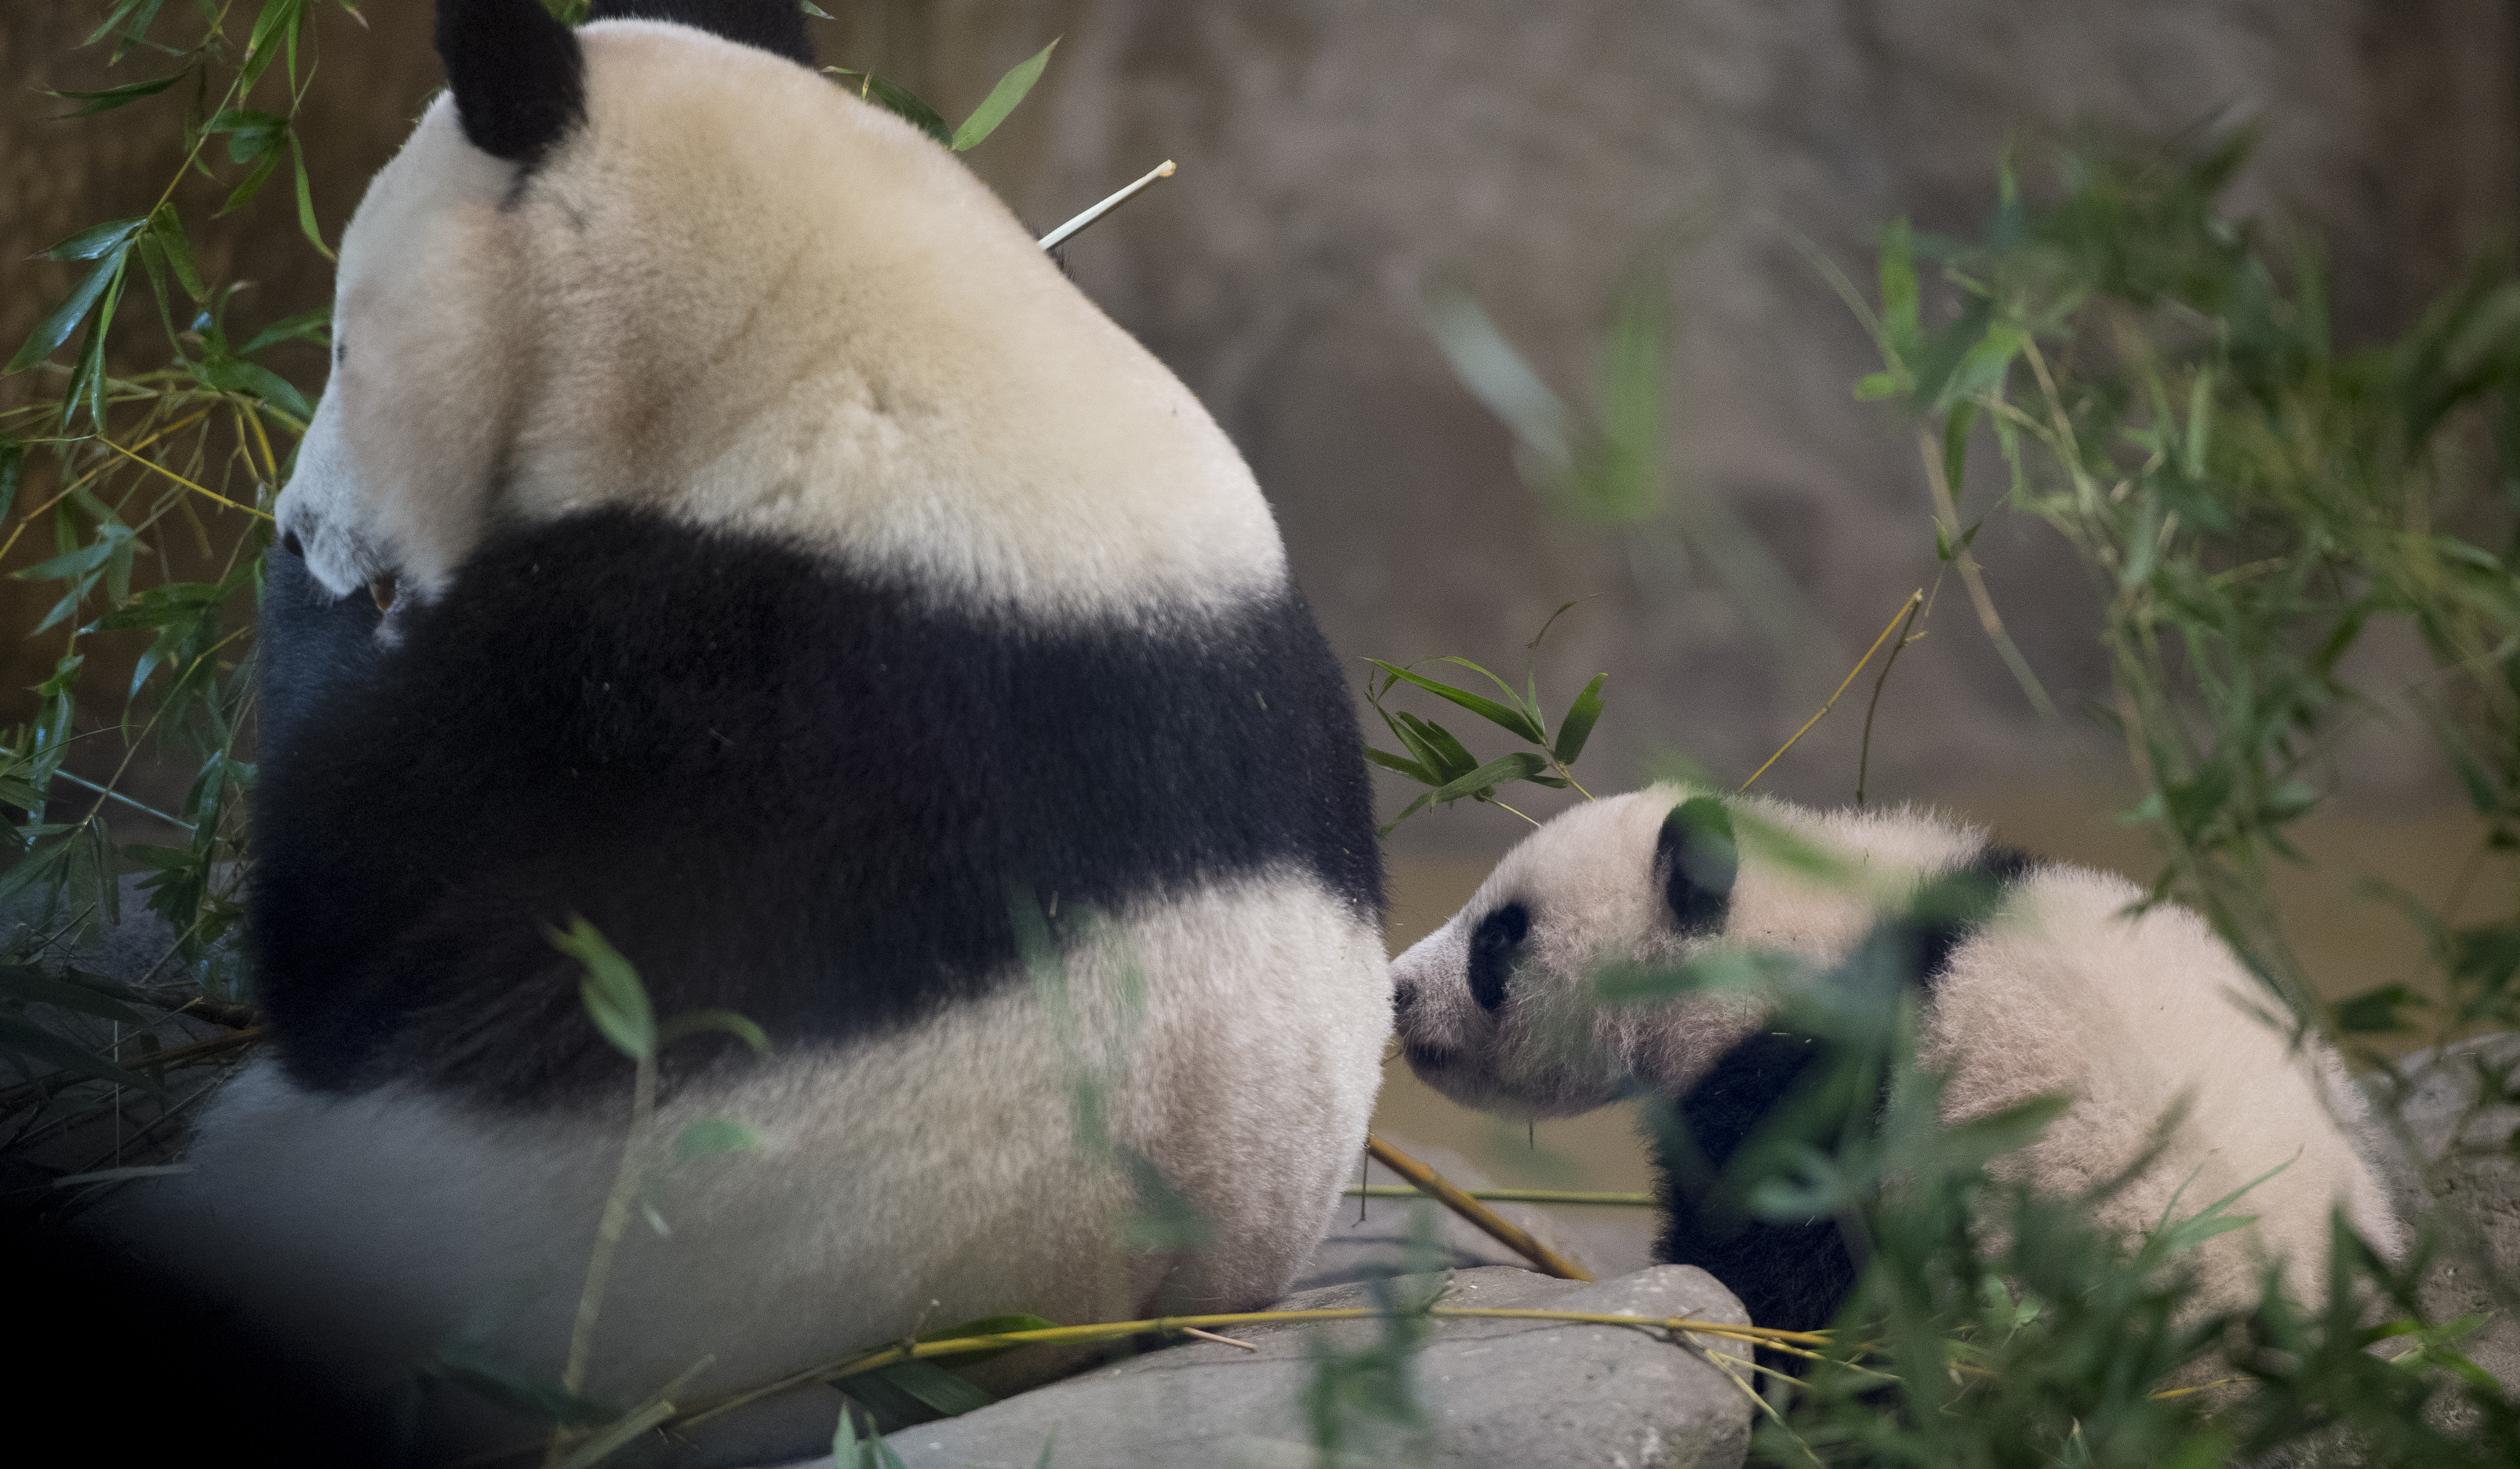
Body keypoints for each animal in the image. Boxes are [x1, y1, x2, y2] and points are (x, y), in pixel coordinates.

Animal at [98, 0, 1391, 1461]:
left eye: (336, 346)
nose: (308, 524)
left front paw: (323, 615)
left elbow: (361, 922)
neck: (832, 333)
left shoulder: (687, 663)